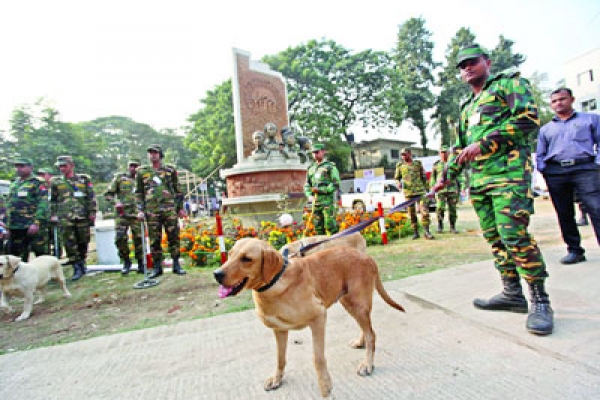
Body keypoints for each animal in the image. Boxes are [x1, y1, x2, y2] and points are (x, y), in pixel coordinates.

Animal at [213, 238, 406, 396]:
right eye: (229, 254)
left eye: (246, 259)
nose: (217, 274)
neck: (274, 283)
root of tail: (367, 257)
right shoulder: (279, 330)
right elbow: (280, 358)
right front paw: (277, 379)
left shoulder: (319, 316)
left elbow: (317, 358)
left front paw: (325, 385)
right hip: (350, 303)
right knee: (366, 330)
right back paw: (361, 342)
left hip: (357, 304)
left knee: (371, 333)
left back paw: (368, 364)